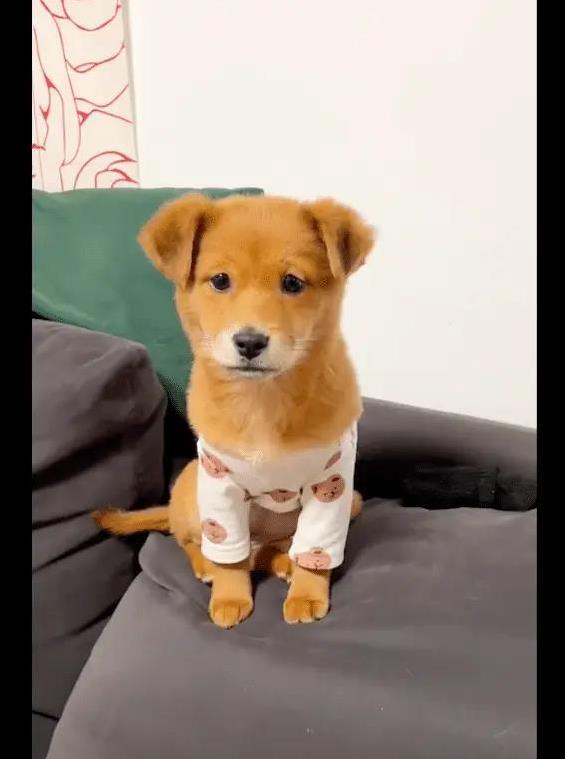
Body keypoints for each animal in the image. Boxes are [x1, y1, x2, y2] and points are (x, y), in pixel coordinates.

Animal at [94, 194, 375, 628]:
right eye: (220, 280)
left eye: (292, 283)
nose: (250, 342)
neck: (263, 401)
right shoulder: (219, 482)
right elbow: (228, 558)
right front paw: (229, 597)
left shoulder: (333, 484)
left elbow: (315, 552)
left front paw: (307, 594)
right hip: (190, 488)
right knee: (191, 541)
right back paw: (207, 566)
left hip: (354, 501)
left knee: (276, 547)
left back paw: (282, 561)